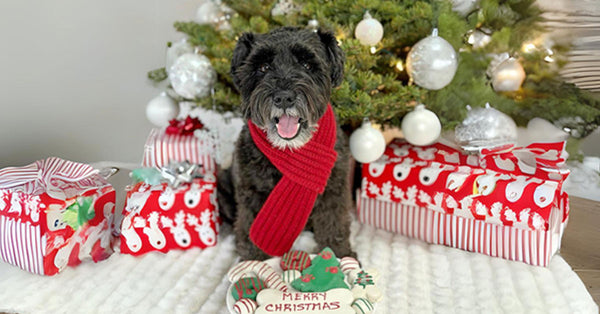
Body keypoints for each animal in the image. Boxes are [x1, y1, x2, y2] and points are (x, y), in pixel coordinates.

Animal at [219, 28, 352, 262]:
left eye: (307, 65)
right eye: (263, 67)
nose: (283, 98)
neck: (290, 150)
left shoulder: (334, 190)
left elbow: (334, 225)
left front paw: (342, 257)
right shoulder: (251, 195)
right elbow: (250, 231)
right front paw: (252, 264)